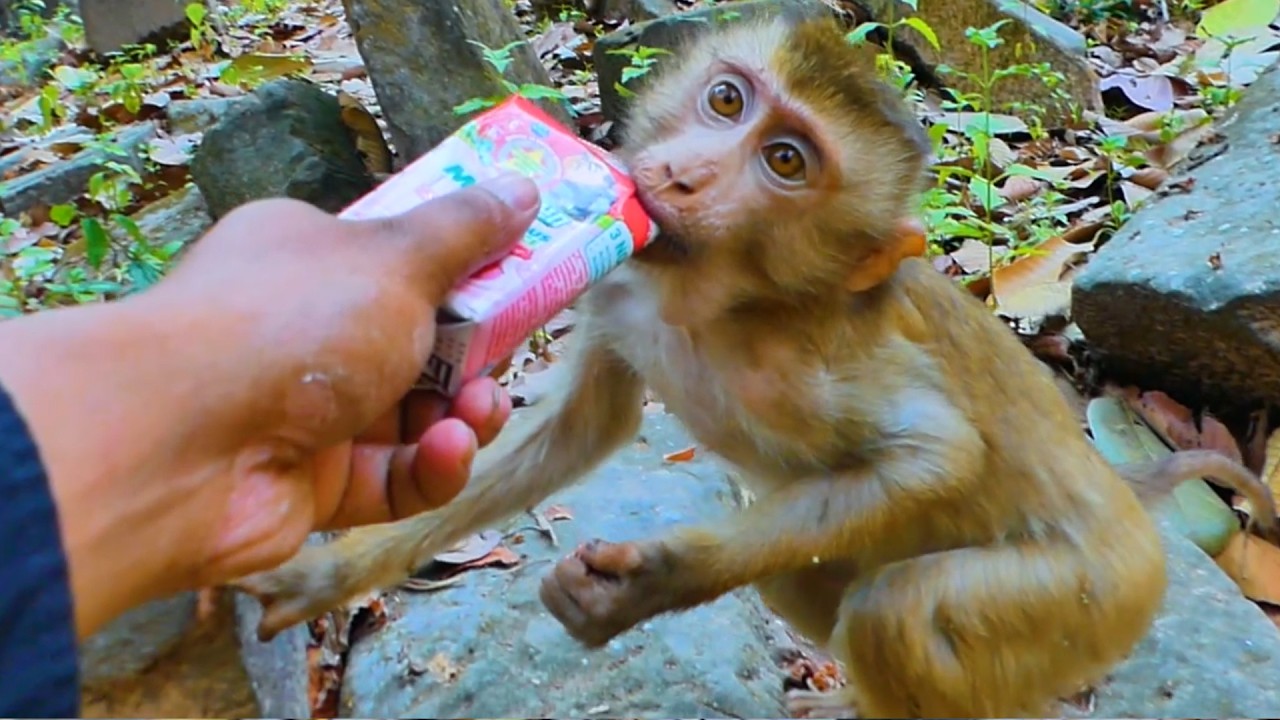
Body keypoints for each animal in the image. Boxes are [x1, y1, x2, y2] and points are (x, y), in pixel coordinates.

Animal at [233, 13, 1279, 718]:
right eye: (726, 99)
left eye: (784, 162)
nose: (683, 176)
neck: (714, 307)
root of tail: (1126, 503)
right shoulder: (623, 291)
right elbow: (581, 431)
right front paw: (329, 574)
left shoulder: (818, 358)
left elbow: (935, 457)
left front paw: (651, 581)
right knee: (810, 578)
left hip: (1093, 597)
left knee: (899, 610)